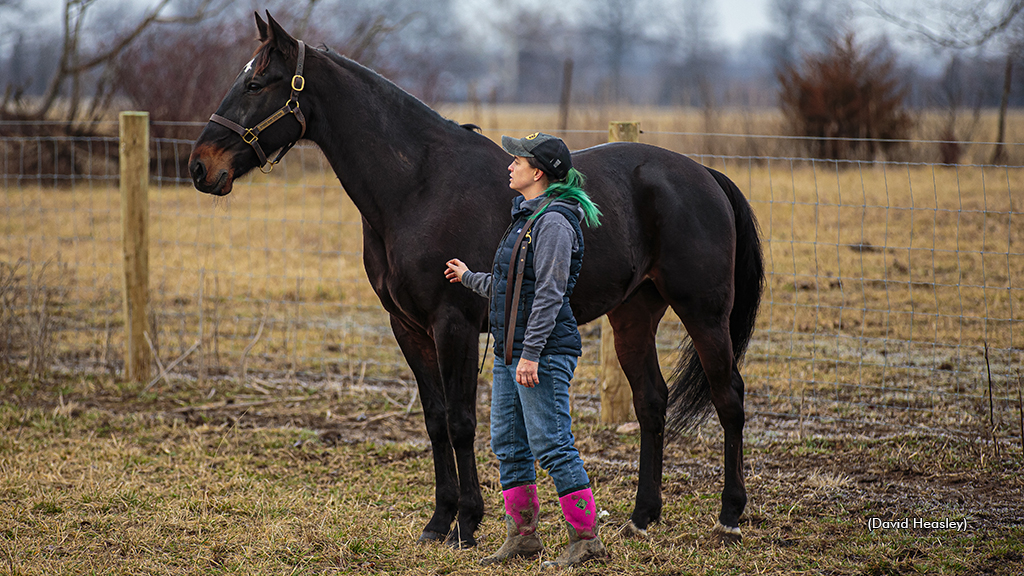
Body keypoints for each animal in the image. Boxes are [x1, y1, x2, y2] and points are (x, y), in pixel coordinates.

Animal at [188, 11, 765, 545]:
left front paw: (467, 523)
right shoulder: (408, 328)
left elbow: (462, 422)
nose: (200, 167)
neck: (418, 186)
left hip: (703, 312)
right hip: (634, 314)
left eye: (257, 84)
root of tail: (704, 174)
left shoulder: (454, 324)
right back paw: (643, 515)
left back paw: (730, 515)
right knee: (651, 402)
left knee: (729, 397)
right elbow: (435, 420)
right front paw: (438, 521)